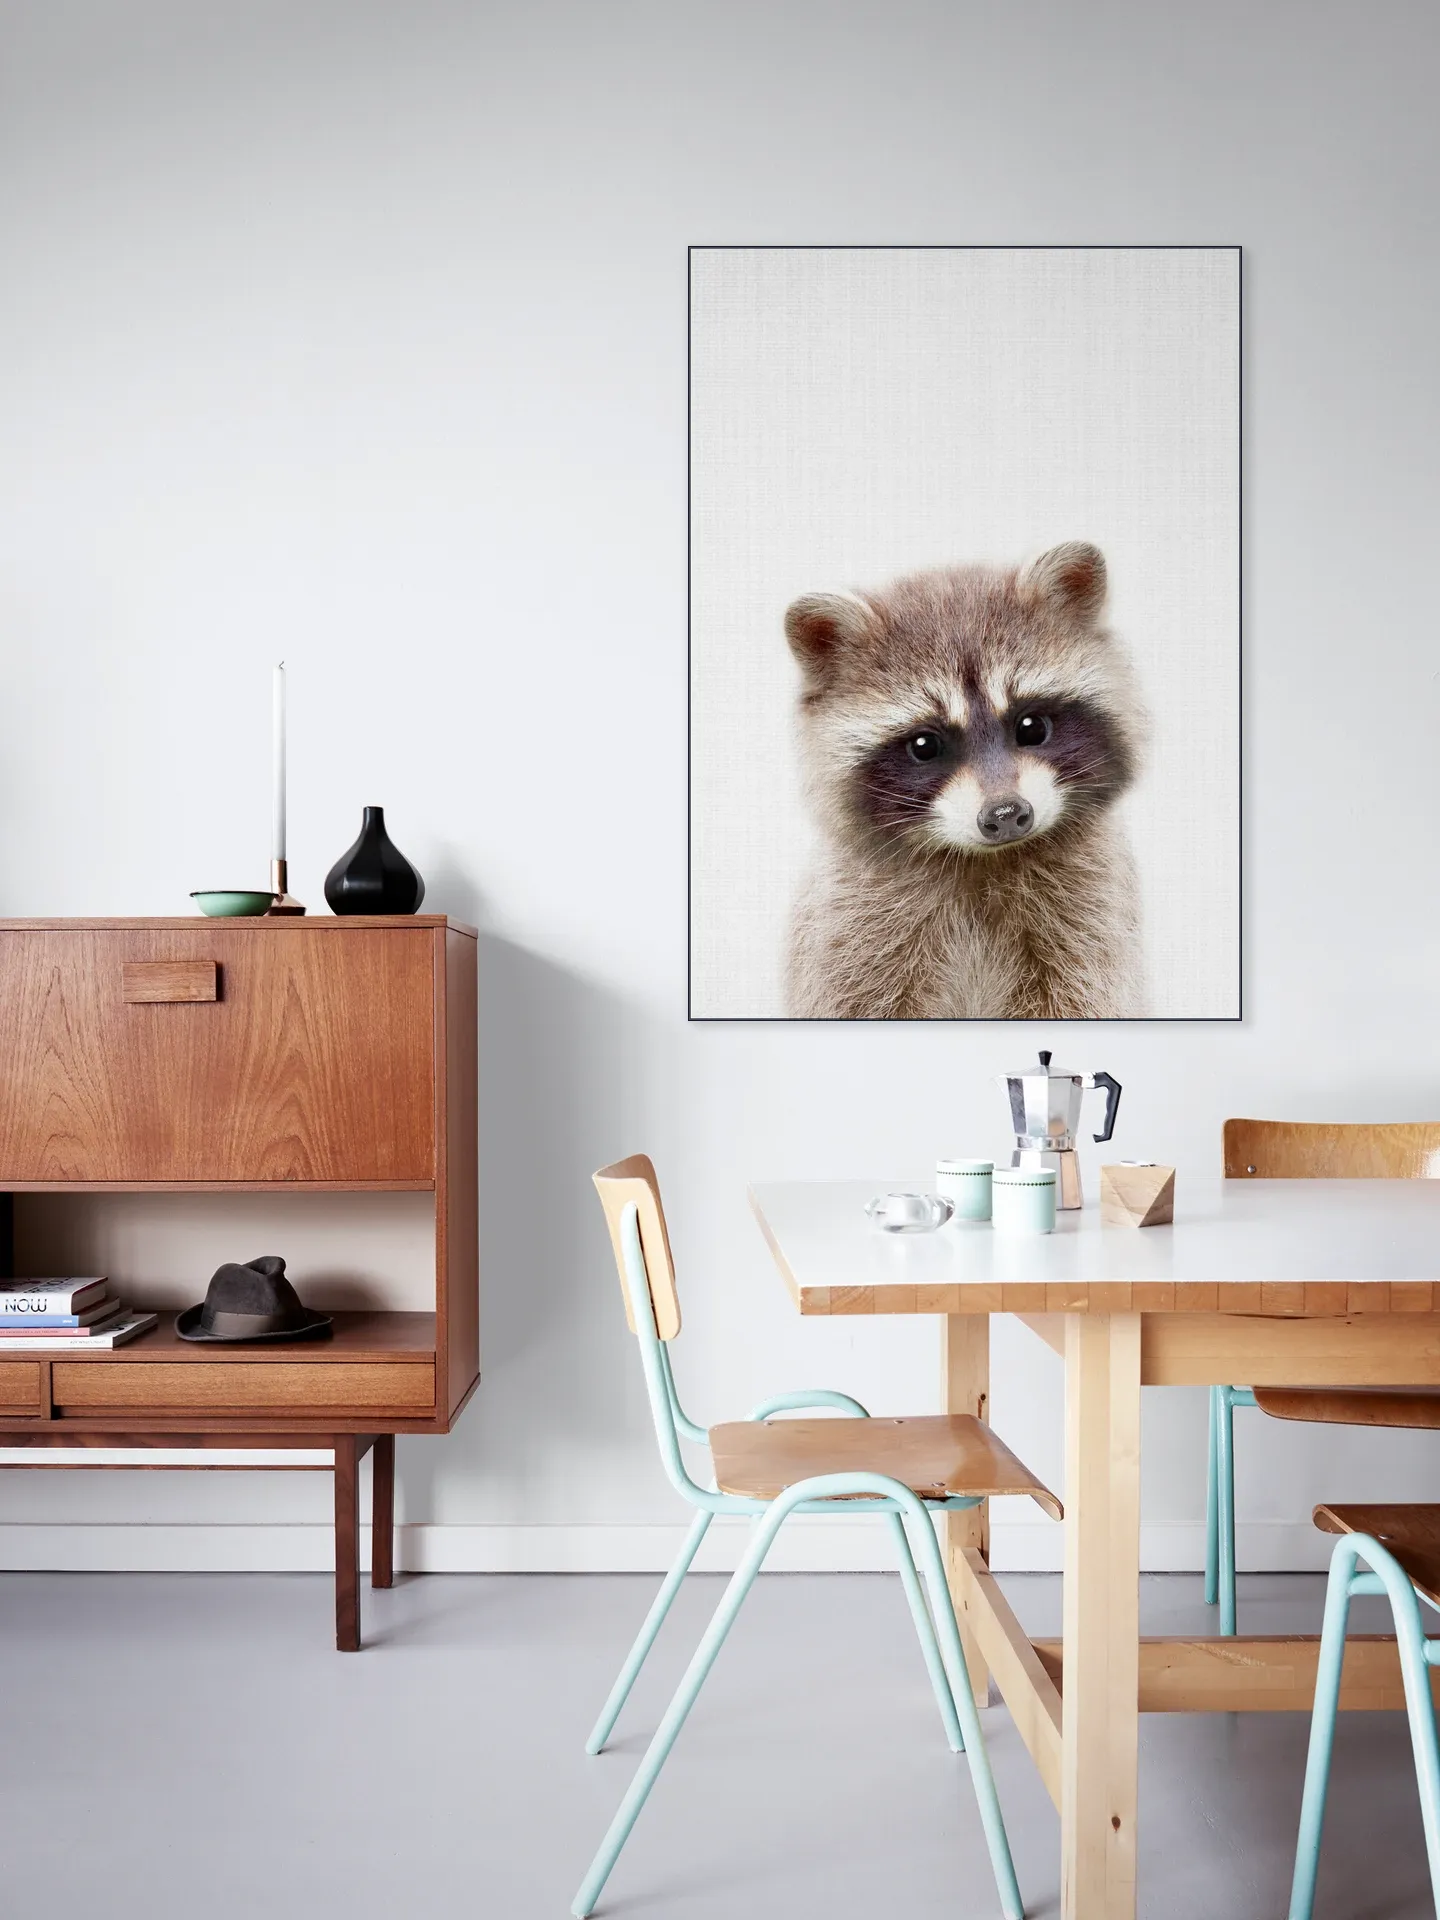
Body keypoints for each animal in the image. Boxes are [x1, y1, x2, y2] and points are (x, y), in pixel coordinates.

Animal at [784, 541, 1145, 1020]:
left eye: (1032, 727)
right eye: (924, 746)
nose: (1007, 814)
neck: (981, 860)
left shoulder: (1090, 917)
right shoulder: (852, 930)